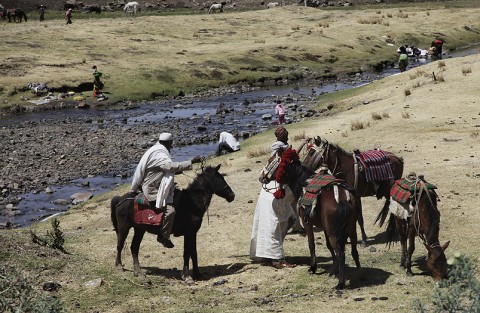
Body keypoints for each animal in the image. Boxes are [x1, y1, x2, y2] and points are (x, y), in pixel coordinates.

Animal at [262, 147, 360, 288]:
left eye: (270, 160)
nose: (261, 177)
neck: (303, 183)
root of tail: (342, 199)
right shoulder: (324, 227)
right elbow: (328, 246)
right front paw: (332, 268)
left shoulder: (307, 222)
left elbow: (311, 243)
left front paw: (313, 267)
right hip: (351, 229)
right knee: (353, 249)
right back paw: (358, 273)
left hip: (335, 232)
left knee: (341, 252)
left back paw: (340, 282)